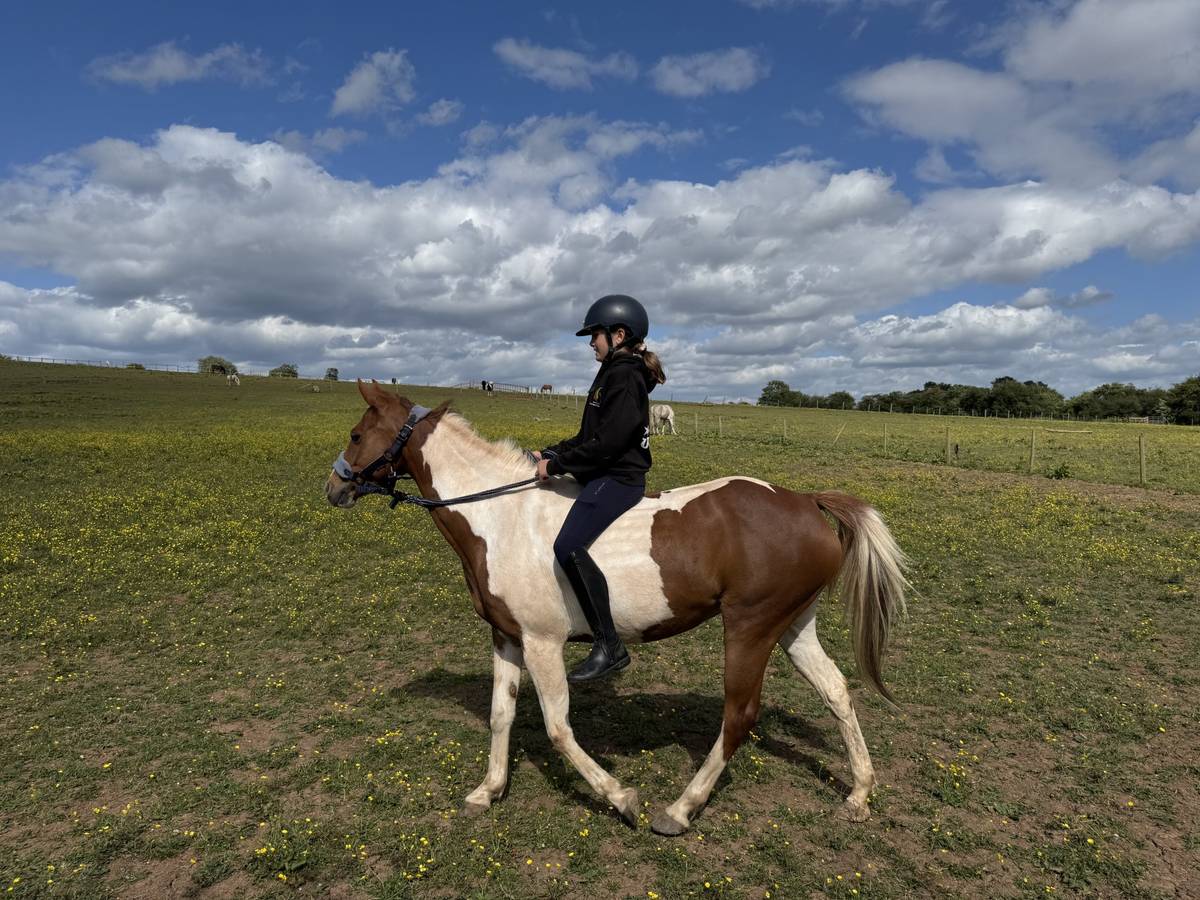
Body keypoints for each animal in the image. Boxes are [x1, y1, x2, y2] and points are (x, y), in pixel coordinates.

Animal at [325, 382, 908, 834]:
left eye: (355, 435)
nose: (333, 488)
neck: (501, 517)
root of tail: (804, 501)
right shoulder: (507, 637)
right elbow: (500, 714)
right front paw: (487, 791)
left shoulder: (542, 643)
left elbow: (558, 728)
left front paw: (621, 798)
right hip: (791, 625)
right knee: (835, 691)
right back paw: (858, 794)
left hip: (750, 627)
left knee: (739, 714)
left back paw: (680, 809)